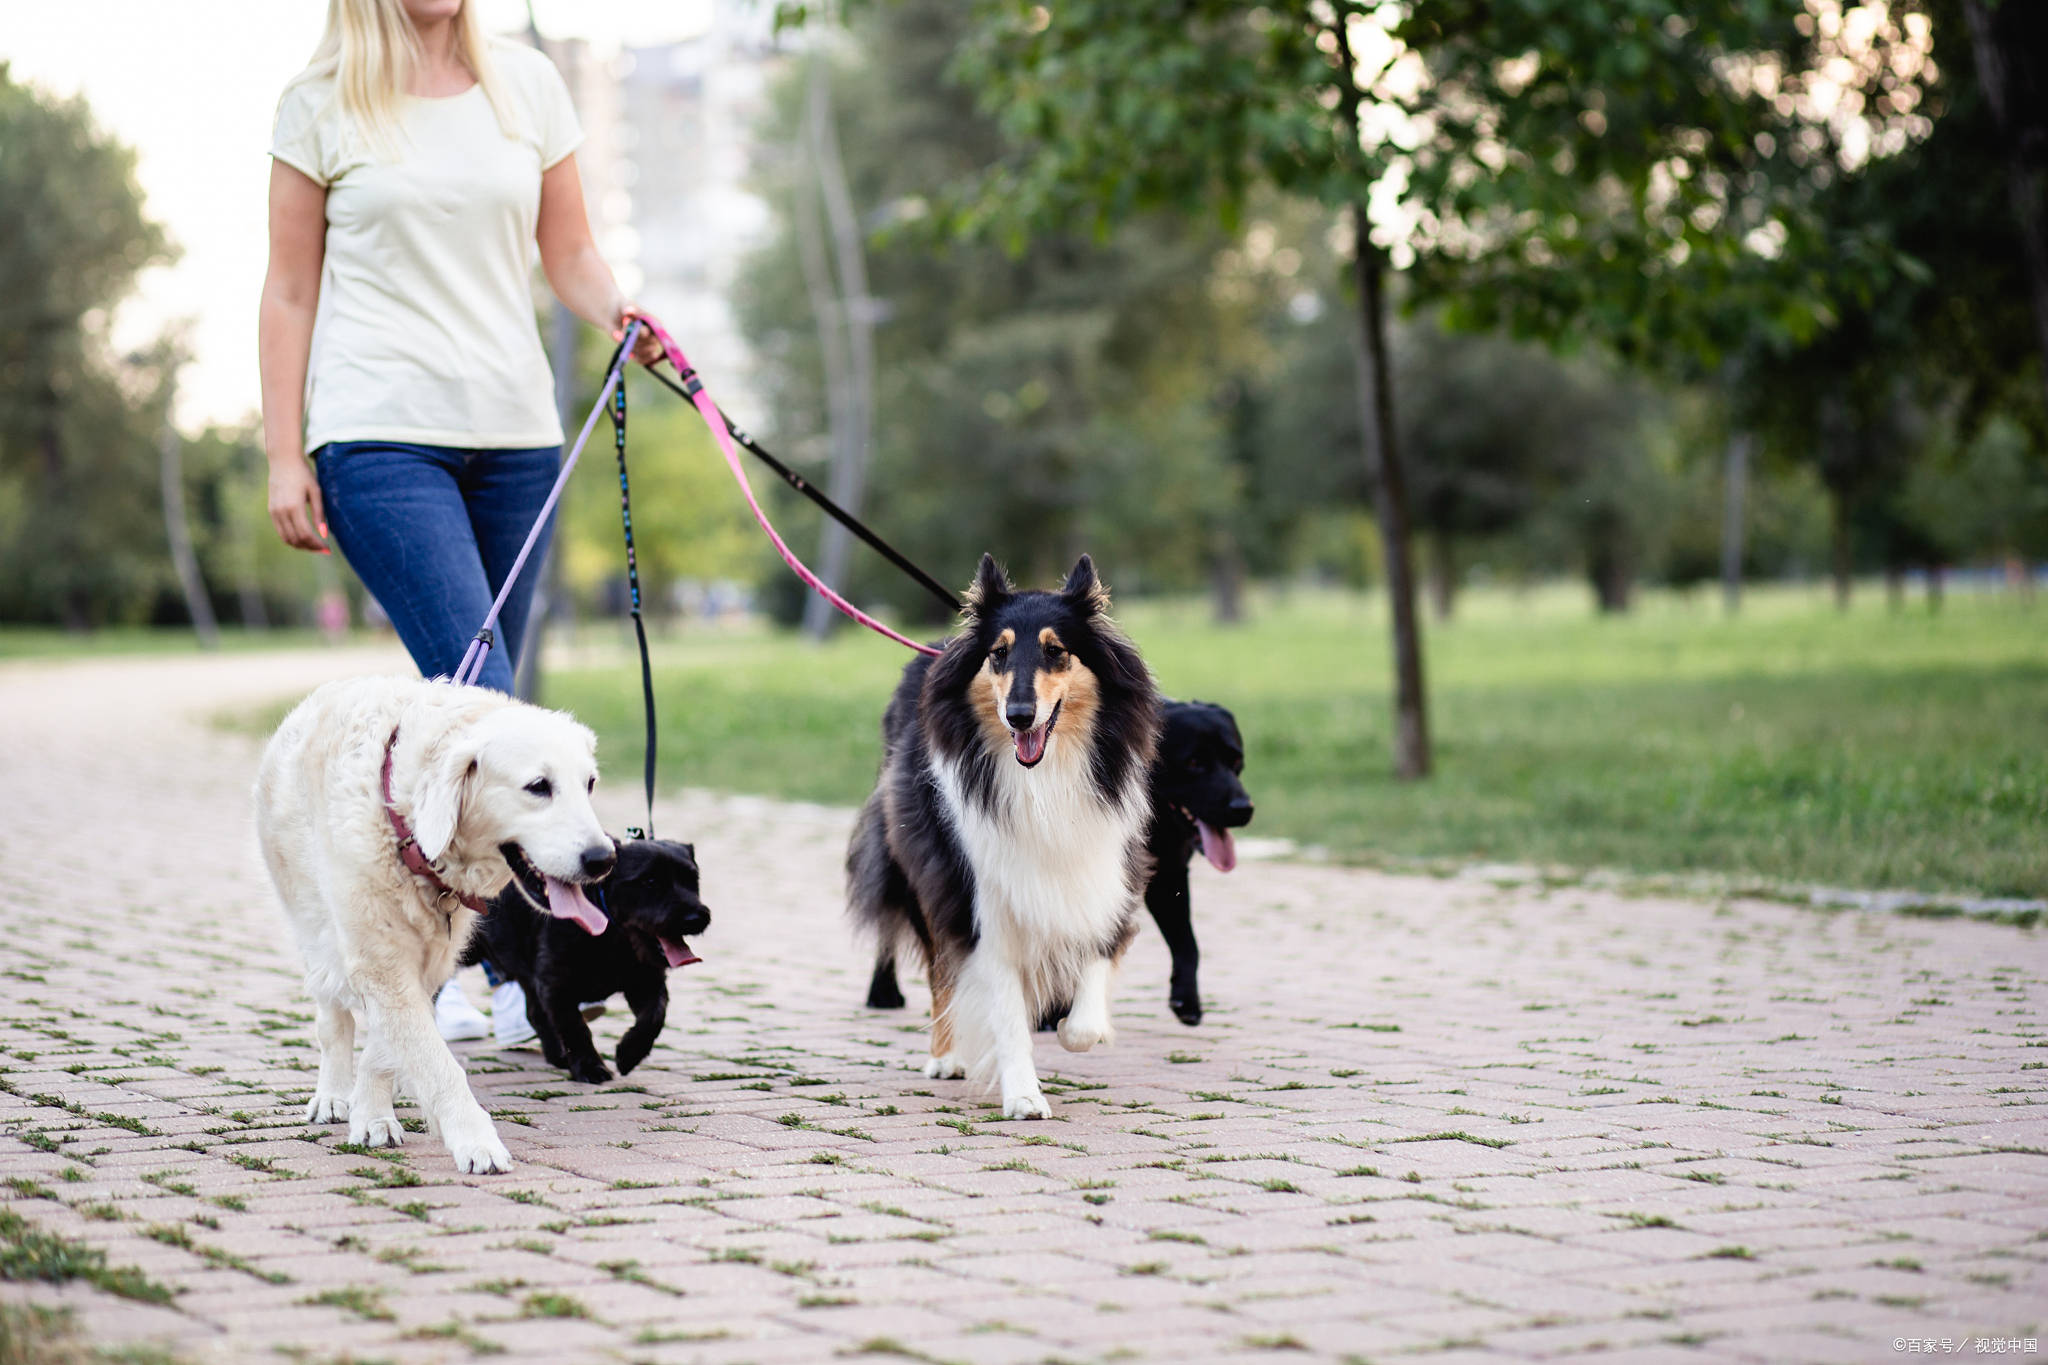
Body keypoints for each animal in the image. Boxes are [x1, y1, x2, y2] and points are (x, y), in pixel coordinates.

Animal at [254, 679, 610, 1170]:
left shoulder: (425, 961)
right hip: (313, 926)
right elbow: (438, 1064)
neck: (406, 827)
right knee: (332, 1019)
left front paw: (374, 1113)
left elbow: (389, 1048)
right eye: (538, 786)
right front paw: (476, 1142)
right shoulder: (378, 960)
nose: (604, 859)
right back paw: (332, 1095)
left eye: (589, 784)